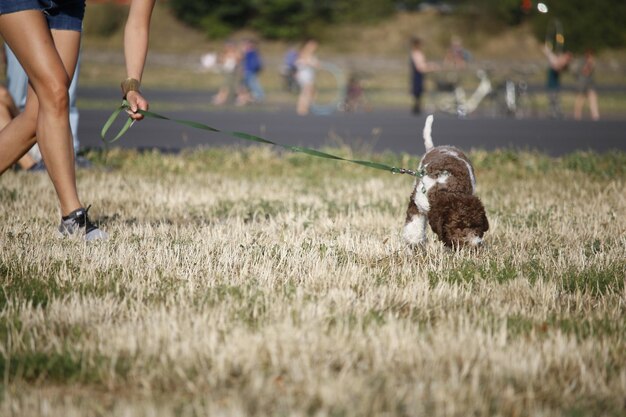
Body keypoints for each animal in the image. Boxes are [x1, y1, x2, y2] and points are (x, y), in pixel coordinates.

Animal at [400, 114, 488, 247]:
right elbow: (414, 222)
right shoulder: (417, 201)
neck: (446, 187)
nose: (475, 245)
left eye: (477, 226)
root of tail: (438, 147)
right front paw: (414, 241)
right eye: (457, 227)